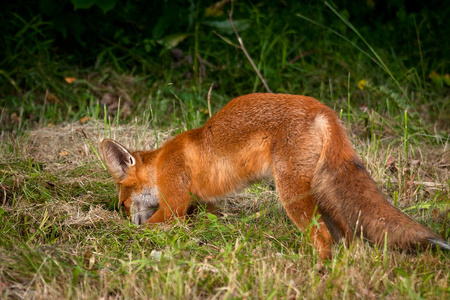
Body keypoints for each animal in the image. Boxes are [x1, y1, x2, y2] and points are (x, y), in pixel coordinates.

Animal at [103, 92, 450, 258]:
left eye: (122, 205)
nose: (123, 218)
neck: (160, 162)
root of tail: (321, 108)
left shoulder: (173, 203)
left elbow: (157, 222)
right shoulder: (200, 201)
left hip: (293, 194)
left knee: (322, 237)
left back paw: (316, 271)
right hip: (322, 193)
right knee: (347, 236)